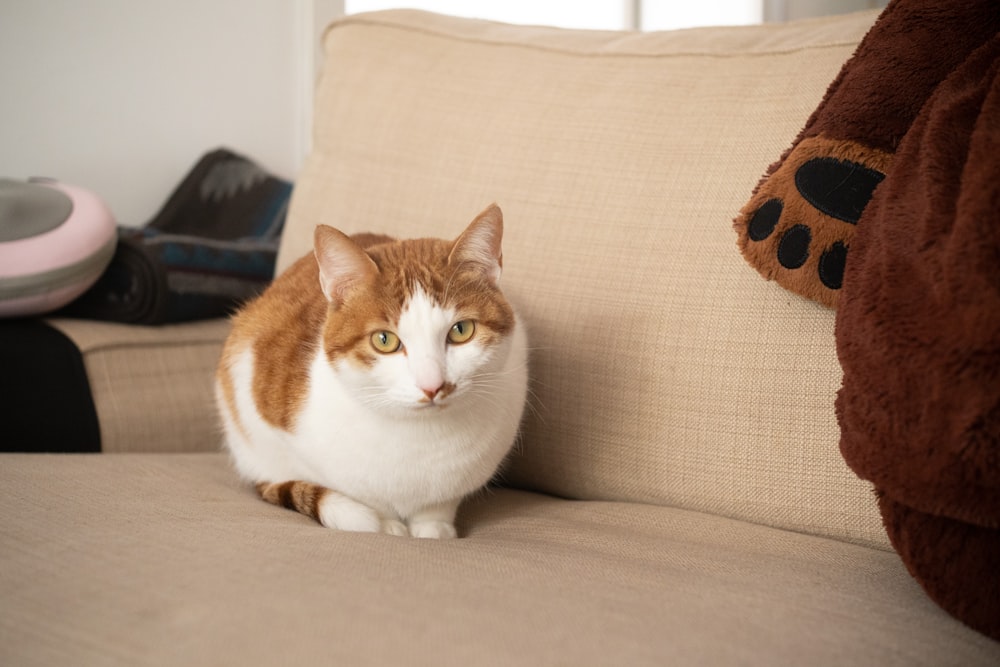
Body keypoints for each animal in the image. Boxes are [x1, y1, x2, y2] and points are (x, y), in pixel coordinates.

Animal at [215, 204, 528, 536]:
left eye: (461, 330)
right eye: (384, 340)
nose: (433, 386)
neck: (421, 440)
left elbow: (438, 506)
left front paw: (433, 528)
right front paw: (387, 525)